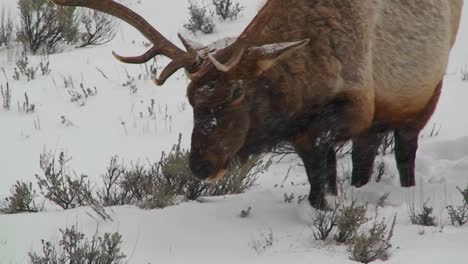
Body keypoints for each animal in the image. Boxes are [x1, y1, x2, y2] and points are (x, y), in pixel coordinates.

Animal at [52, 0, 464, 208]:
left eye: (237, 92)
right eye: (190, 97)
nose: (201, 165)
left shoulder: (354, 106)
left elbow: (320, 162)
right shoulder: (315, 127)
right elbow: (321, 170)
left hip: (423, 94)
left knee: (405, 152)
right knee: (367, 155)